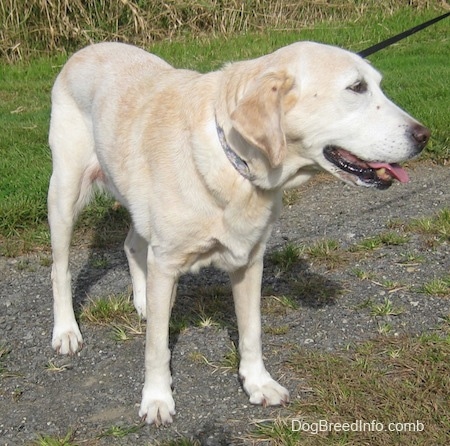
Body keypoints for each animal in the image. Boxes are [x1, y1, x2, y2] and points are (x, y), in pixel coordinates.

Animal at [47, 41, 430, 426]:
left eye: (377, 84)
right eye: (356, 88)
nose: (424, 136)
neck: (235, 165)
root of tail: (88, 48)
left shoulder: (249, 261)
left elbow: (252, 332)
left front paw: (258, 383)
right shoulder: (167, 262)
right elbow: (156, 346)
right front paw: (156, 398)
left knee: (132, 246)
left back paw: (142, 301)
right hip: (64, 195)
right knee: (60, 270)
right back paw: (66, 331)